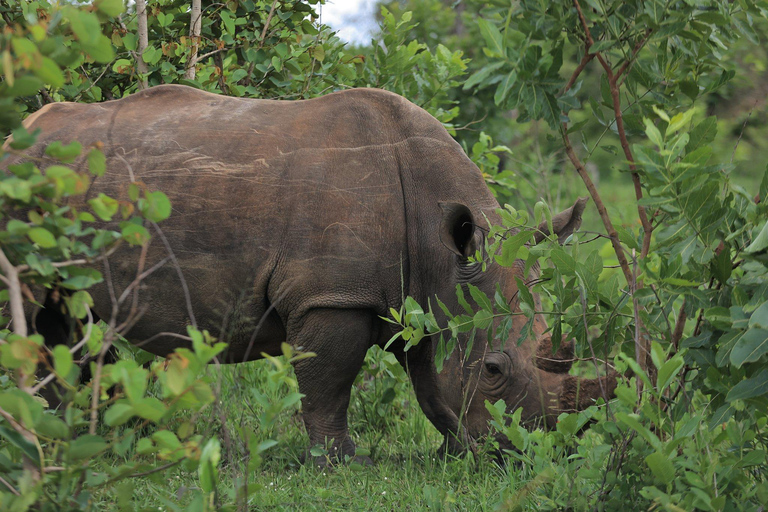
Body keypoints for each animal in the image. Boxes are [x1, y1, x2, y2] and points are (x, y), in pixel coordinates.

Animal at [4, 85, 616, 463]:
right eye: (492, 370)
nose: (533, 455)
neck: (440, 248)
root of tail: (21, 131)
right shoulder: (332, 293)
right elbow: (329, 381)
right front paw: (341, 464)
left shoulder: (421, 294)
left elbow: (428, 381)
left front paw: (453, 453)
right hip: (28, 186)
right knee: (33, 311)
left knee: (65, 321)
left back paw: (68, 439)